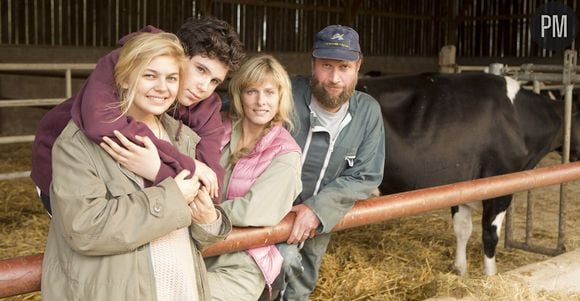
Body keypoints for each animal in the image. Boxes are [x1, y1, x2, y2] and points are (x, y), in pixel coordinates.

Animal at [360, 71, 576, 276]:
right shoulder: (499, 184)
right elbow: (490, 235)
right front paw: (490, 276)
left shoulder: (461, 184)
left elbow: (462, 229)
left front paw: (460, 270)